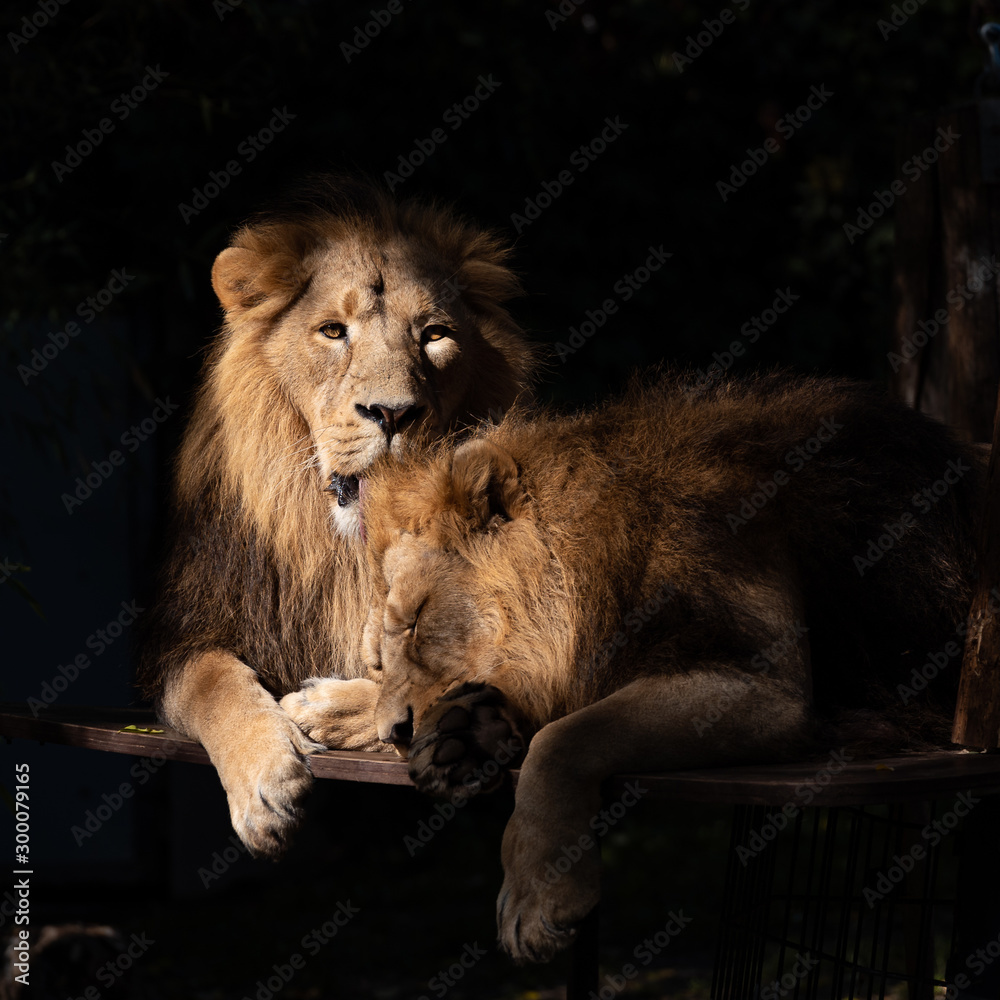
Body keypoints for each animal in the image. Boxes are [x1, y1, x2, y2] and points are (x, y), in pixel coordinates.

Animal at [135, 176, 536, 858]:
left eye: (434, 335)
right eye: (331, 331)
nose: (393, 413)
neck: (351, 546)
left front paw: (328, 709)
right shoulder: (182, 634)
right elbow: (214, 684)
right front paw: (266, 785)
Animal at [282, 372, 982, 963]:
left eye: (418, 620)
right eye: (382, 648)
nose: (399, 733)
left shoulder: (755, 674)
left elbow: (564, 739)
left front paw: (539, 897)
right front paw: (340, 709)